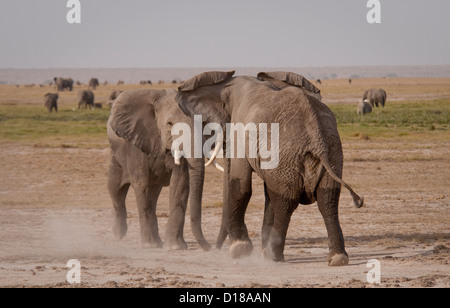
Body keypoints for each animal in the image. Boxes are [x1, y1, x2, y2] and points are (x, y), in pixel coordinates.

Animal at [107, 88, 216, 251]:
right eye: (170, 124)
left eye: (202, 124)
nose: (209, 247)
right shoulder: (136, 144)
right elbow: (141, 184)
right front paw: (148, 246)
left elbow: (180, 183)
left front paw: (175, 247)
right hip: (116, 155)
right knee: (115, 189)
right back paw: (118, 236)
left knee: (153, 194)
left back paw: (157, 242)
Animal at [174, 71, 364, 266]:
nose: (216, 248)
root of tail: (316, 136)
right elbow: (267, 192)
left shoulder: (240, 130)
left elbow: (240, 185)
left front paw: (239, 249)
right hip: (331, 151)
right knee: (327, 199)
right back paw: (337, 258)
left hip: (290, 155)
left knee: (285, 202)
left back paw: (272, 256)